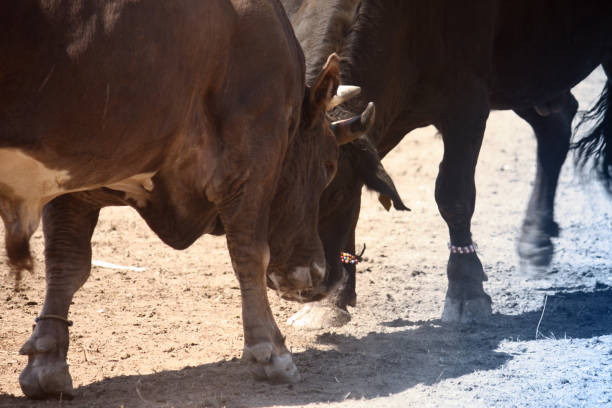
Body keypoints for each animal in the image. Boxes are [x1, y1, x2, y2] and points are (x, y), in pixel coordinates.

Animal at [0, 0, 376, 398]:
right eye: (329, 165)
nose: (315, 273)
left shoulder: (76, 173)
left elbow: (66, 262)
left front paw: (47, 361)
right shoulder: (254, 155)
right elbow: (250, 253)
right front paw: (271, 352)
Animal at [284, 0, 612, 326]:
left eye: (336, 193)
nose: (301, 283)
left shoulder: (468, 104)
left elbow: (454, 197)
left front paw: (467, 290)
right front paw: (332, 302)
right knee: (556, 123)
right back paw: (536, 238)